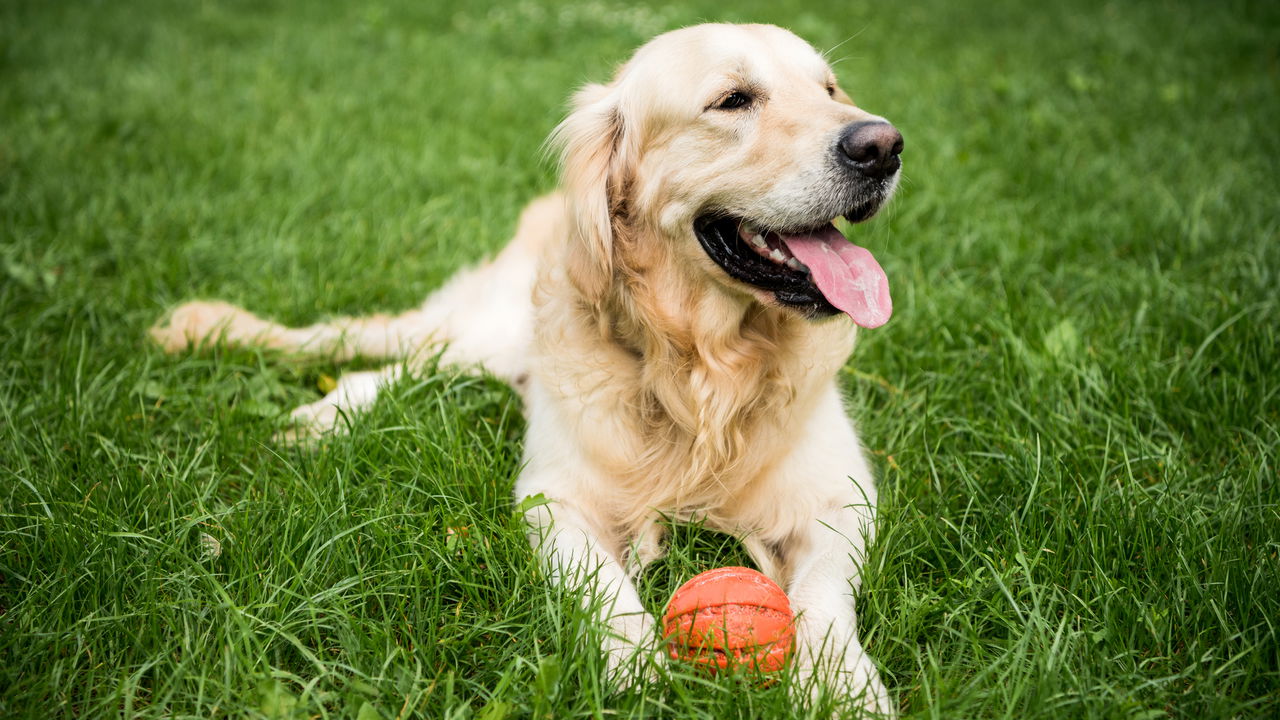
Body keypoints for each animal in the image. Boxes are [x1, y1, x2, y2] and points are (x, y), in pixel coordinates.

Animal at [154, 20, 906, 712]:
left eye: (829, 89)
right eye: (733, 100)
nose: (884, 146)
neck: (702, 370)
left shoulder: (844, 499)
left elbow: (822, 594)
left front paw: (845, 685)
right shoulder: (554, 500)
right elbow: (601, 582)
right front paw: (636, 668)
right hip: (488, 329)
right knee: (381, 356)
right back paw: (294, 398)